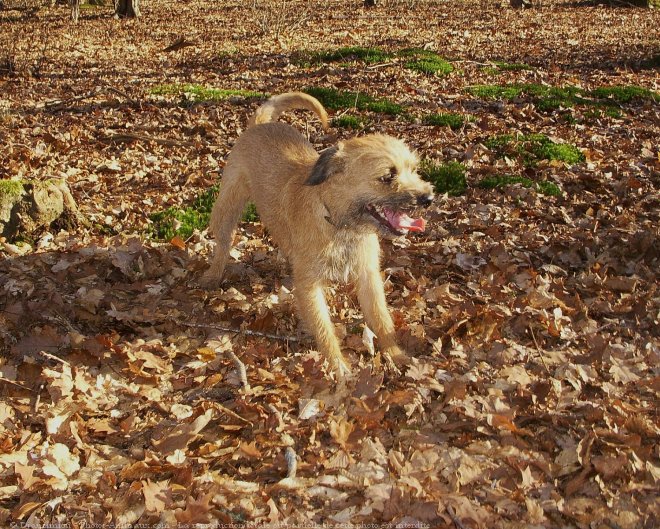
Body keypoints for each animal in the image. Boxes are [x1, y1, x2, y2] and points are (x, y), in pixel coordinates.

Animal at [204, 92, 436, 376]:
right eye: (387, 176)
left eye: (413, 169)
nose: (428, 198)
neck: (340, 225)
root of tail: (260, 125)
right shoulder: (309, 287)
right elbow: (325, 330)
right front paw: (339, 369)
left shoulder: (368, 276)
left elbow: (382, 319)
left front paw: (396, 355)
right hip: (227, 206)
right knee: (223, 242)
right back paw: (213, 274)